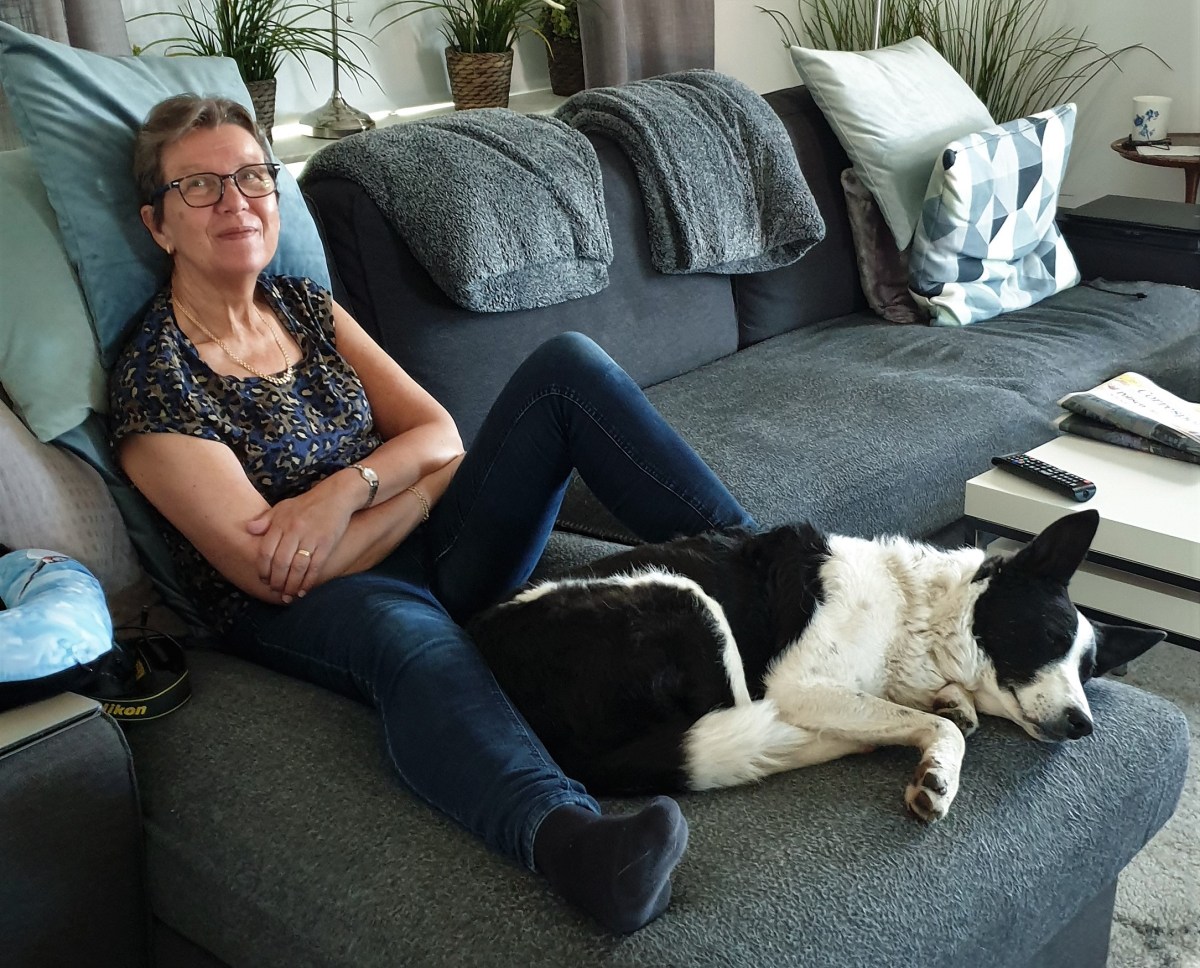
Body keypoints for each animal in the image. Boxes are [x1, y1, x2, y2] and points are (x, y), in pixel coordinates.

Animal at [469, 509, 1165, 821]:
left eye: (1090, 672)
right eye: (1050, 636)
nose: (1082, 725)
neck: (917, 610)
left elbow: (937, 707)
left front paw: (948, 700)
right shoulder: (800, 685)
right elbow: (938, 729)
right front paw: (938, 765)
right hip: (692, 604)